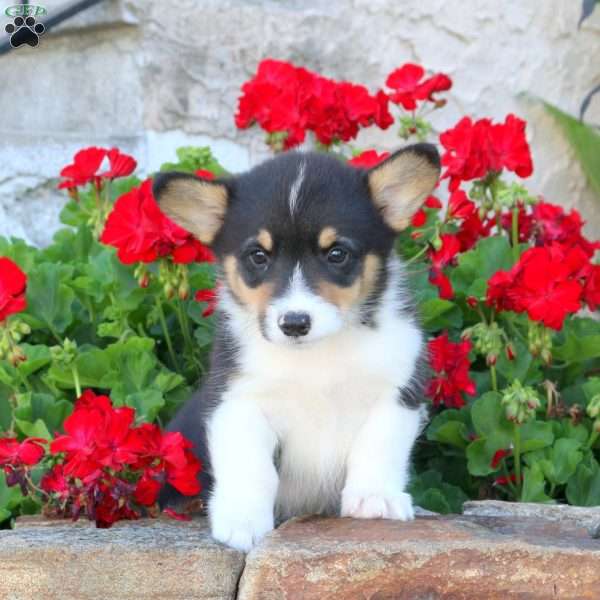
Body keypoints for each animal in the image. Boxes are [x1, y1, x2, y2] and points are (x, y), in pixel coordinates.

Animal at [152, 143, 438, 552]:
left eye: (337, 254)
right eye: (258, 256)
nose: (294, 323)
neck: (316, 357)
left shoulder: (398, 392)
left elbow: (378, 445)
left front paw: (375, 498)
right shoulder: (238, 401)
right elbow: (251, 467)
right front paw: (242, 520)